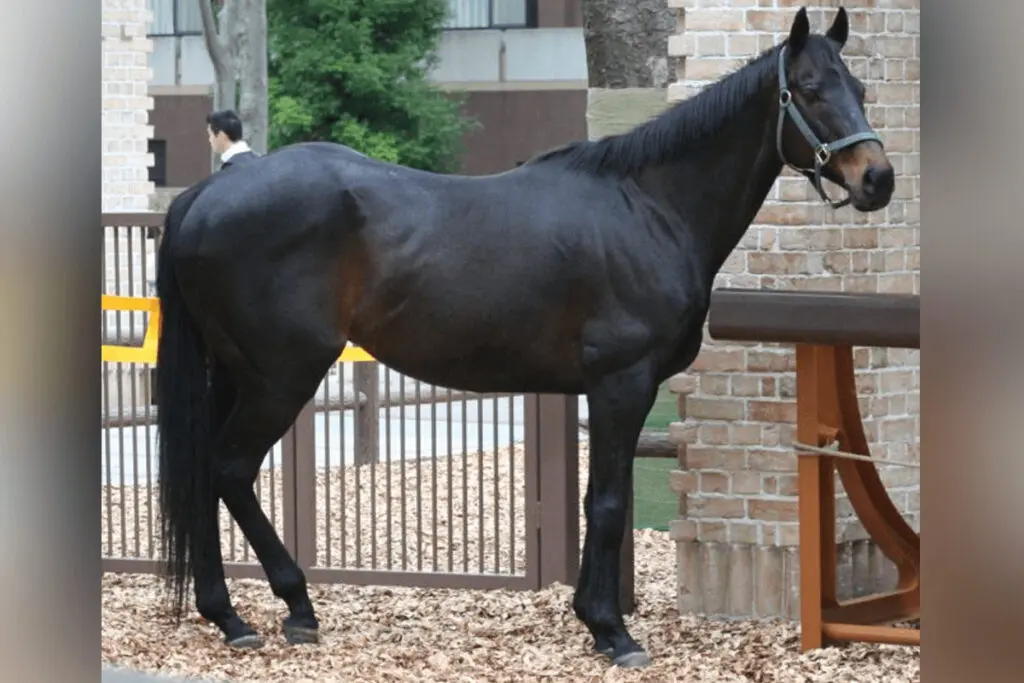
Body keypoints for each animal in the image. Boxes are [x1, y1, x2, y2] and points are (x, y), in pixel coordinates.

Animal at [154, 6, 892, 668]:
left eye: (858, 88)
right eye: (809, 89)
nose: (876, 179)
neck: (648, 207)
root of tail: (204, 197)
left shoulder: (612, 389)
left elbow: (604, 499)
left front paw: (594, 618)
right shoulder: (621, 382)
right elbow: (608, 502)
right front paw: (612, 632)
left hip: (237, 373)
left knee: (206, 472)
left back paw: (229, 613)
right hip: (281, 376)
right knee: (230, 468)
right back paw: (288, 606)